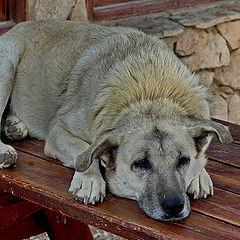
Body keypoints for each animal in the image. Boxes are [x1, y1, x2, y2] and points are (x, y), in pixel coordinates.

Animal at [0, 19, 232, 220]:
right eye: (141, 163)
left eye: (183, 160)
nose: (174, 205)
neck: (150, 94)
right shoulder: (59, 128)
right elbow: (84, 152)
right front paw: (89, 179)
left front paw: (200, 173)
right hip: (8, 64)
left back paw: (14, 126)